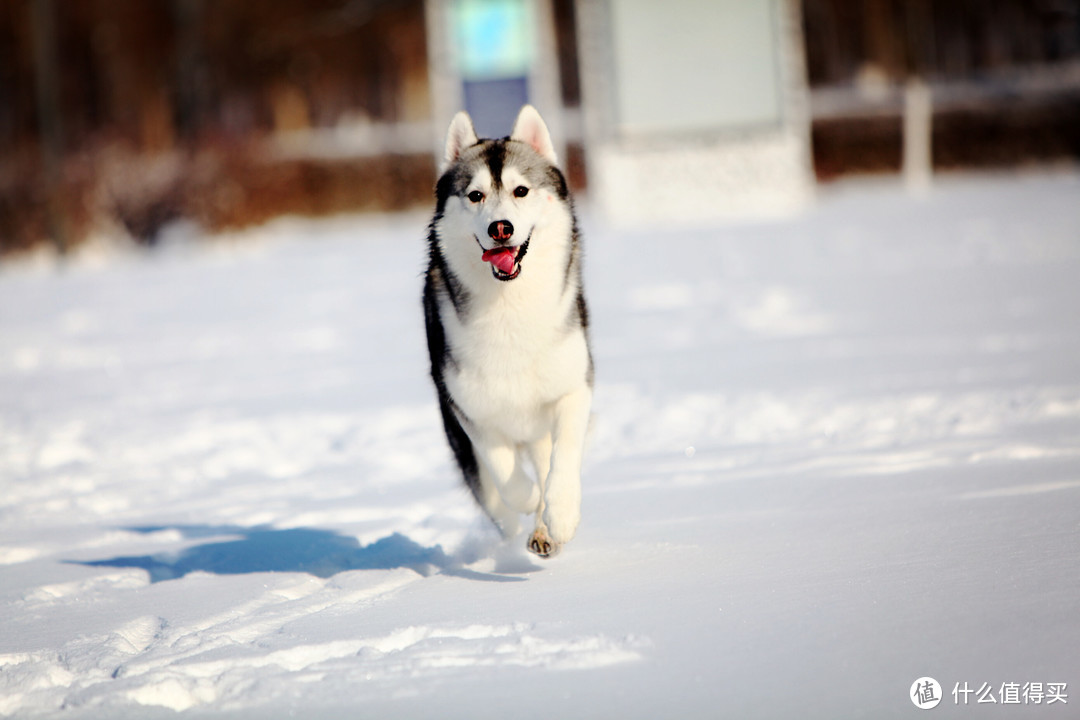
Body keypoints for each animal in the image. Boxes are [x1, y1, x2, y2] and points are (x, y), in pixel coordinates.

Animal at [421, 105, 591, 557]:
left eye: (521, 191)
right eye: (475, 195)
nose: (501, 228)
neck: (509, 307)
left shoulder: (573, 388)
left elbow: (563, 456)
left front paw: (559, 515)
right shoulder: (470, 410)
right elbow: (504, 472)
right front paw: (529, 498)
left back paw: (545, 530)